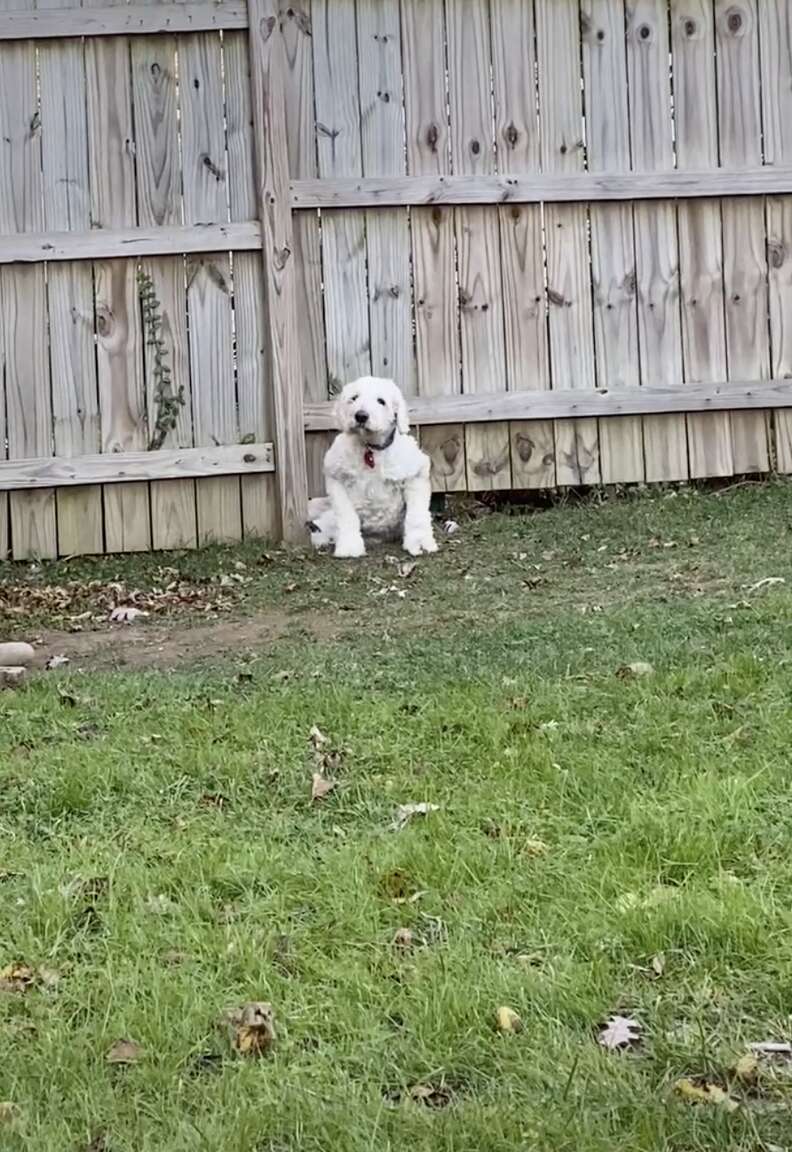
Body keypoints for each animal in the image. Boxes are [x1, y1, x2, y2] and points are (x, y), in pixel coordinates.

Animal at [308, 377, 439, 557]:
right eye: (354, 398)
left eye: (381, 401)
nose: (361, 416)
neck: (371, 449)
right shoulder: (336, 477)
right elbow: (347, 515)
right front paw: (350, 547)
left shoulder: (415, 474)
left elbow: (416, 515)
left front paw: (419, 543)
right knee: (322, 524)